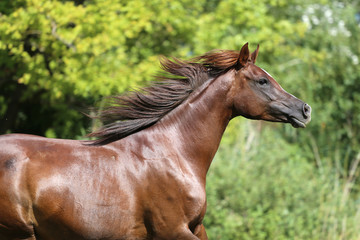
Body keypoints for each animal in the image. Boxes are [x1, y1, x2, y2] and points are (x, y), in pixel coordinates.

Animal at [0, 42, 310, 239]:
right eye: (262, 81)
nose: (305, 110)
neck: (175, 153)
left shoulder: (196, 227)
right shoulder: (172, 229)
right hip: (20, 234)